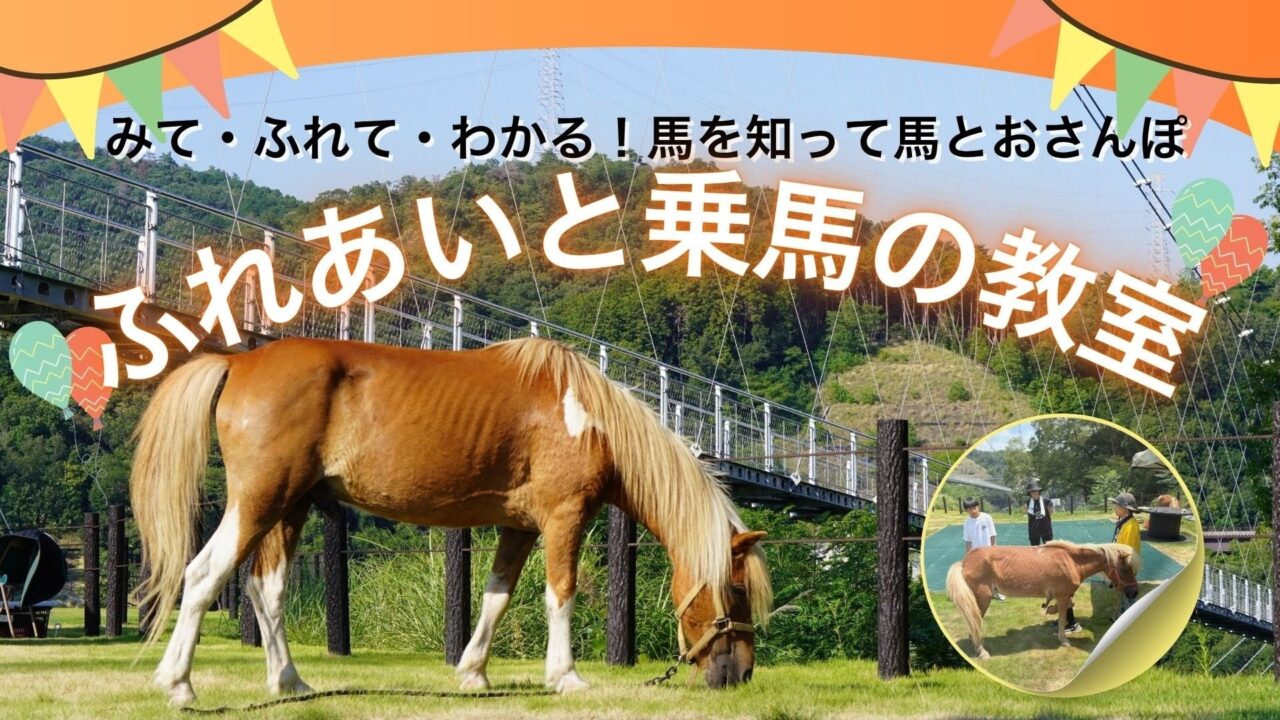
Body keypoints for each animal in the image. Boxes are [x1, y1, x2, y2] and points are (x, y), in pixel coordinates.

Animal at [129, 337, 772, 705]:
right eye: (736, 591)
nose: (741, 675)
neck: (587, 417)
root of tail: (238, 362)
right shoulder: (564, 518)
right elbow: (559, 594)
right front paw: (564, 677)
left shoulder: (520, 526)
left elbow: (497, 597)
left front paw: (473, 674)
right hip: (260, 501)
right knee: (202, 576)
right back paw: (179, 685)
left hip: (291, 507)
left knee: (267, 591)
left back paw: (289, 684)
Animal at [944, 540, 1140, 660]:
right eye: (1125, 569)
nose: (1134, 592)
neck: (1072, 561)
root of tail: (965, 562)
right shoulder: (1062, 596)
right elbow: (1062, 617)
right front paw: (1064, 640)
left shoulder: (1065, 596)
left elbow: (1066, 610)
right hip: (982, 598)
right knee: (975, 619)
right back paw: (981, 650)